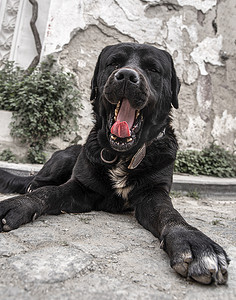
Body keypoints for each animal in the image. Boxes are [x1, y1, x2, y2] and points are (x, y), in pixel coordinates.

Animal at [0, 42, 229, 284]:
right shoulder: (81, 186)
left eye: (153, 69)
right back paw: (33, 184)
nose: (127, 76)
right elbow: (48, 193)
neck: (123, 155)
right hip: (64, 157)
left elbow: (169, 213)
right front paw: (20, 204)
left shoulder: (153, 193)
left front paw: (192, 240)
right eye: (114, 63)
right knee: (37, 181)